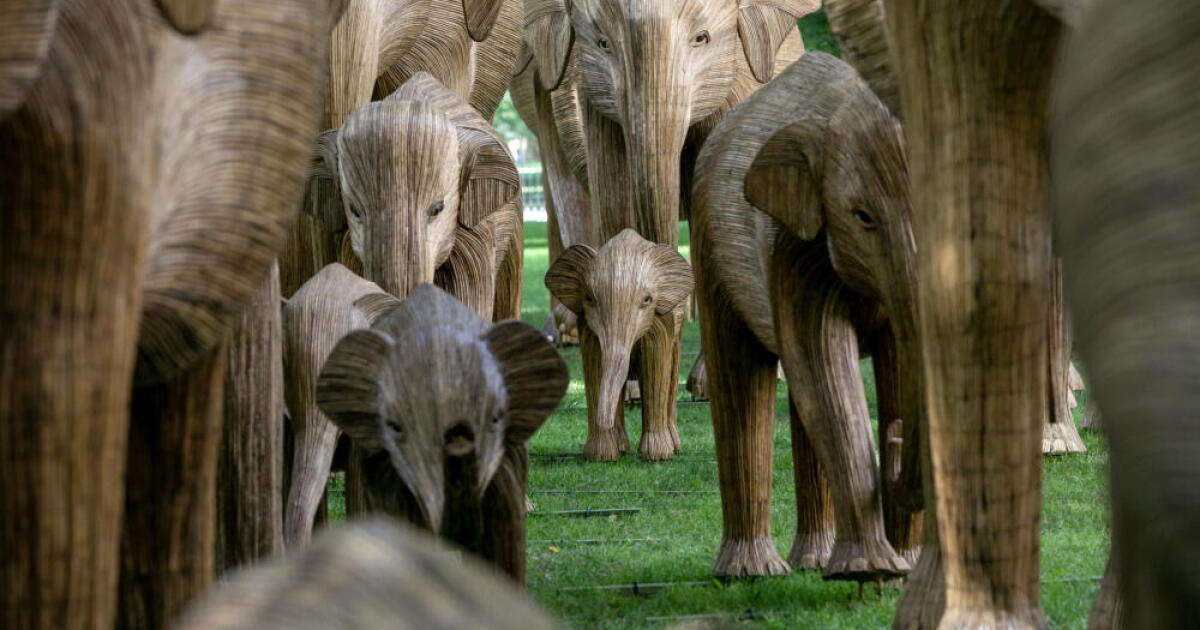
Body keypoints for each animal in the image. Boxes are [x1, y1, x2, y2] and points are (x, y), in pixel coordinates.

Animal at [545, 228, 694, 461]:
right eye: (589, 298)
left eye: (647, 300)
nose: (603, 421)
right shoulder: (587, 326)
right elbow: (595, 367)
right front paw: (601, 456)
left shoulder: (661, 322)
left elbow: (655, 367)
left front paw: (656, 456)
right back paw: (622, 447)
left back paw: (674, 447)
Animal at [692, 52, 921, 580]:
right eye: (862, 216)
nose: (896, 438)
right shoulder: (795, 249)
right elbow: (822, 364)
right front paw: (869, 571)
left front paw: (908, 566)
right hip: (710, 242)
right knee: (742, 376)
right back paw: (751, 572)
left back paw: (811, 560)